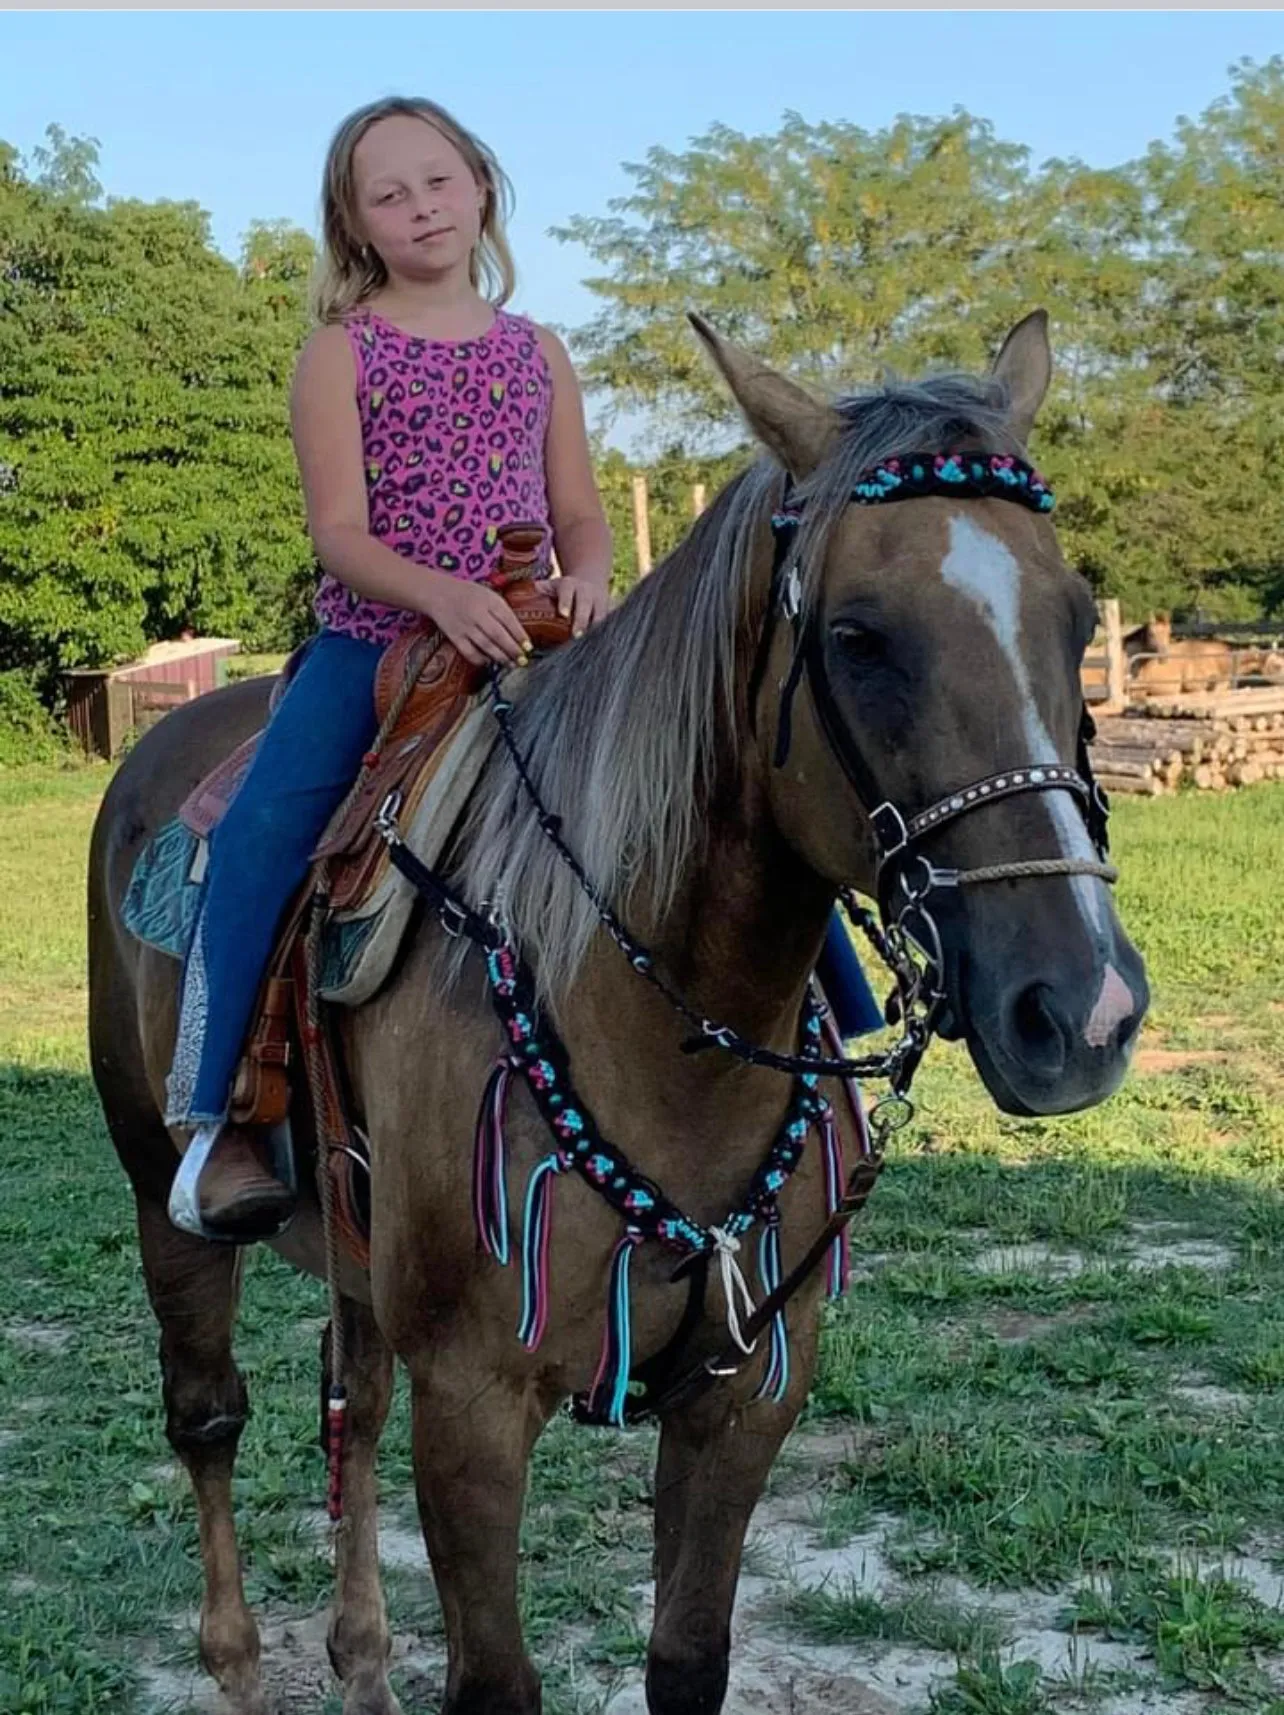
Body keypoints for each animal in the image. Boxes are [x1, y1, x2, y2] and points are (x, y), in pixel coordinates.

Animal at [85, 315, 1145, 1715]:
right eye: (859, 637)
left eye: (1076, 623)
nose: (1084, 1010)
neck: (654, 1026)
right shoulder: (475, 1406)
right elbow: (496, 1679)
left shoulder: (748, 1391)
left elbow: (687, 1659)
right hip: (166, 1203)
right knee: (208, 1419)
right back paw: (242, 1659)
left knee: (349, 1404)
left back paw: (360, 1659)